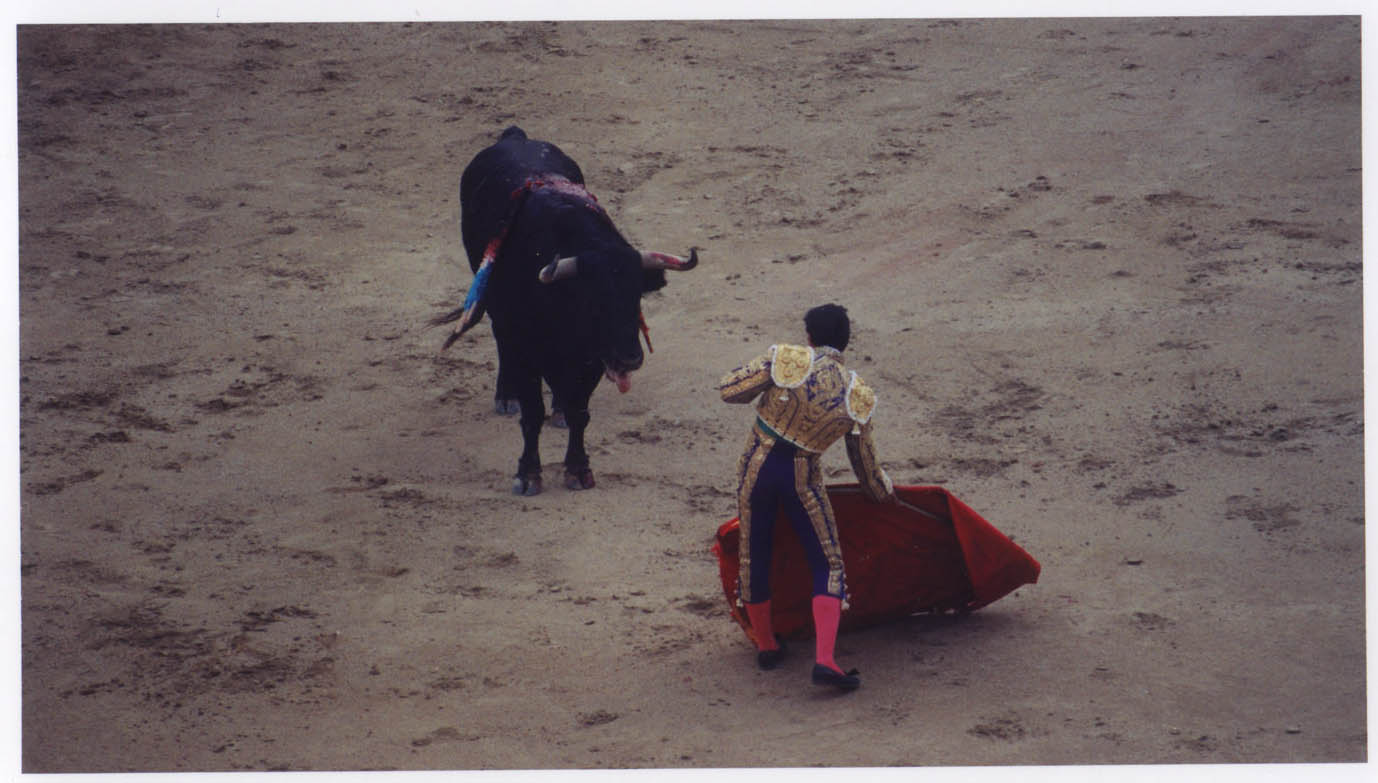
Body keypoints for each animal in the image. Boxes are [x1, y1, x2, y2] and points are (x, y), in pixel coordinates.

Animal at [432, 127, 700, 496]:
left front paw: (578, 468)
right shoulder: (525, 349)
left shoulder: (593, 359)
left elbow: (579, 413)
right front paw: (528, 475)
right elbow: (531, 415)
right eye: (592, 301)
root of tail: (515, 137)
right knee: (501, 344)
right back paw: (506, 397)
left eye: (637, 297)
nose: (630, 359)